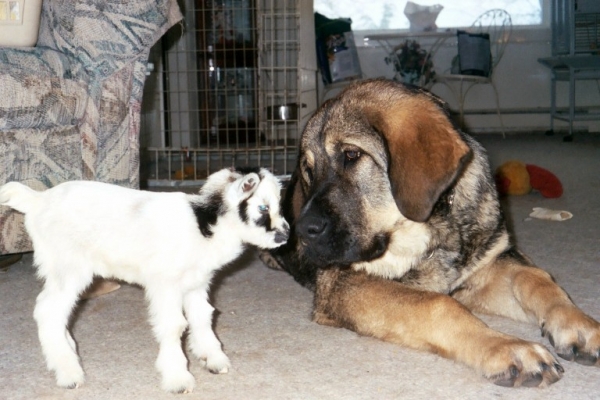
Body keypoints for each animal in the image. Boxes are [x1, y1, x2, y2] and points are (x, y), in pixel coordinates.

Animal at [264, 78, 600, 388]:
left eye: (351, 155)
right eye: (309, 171)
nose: (300, 231)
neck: (431, 227)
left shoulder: (485, 267)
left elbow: (535, 278)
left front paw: (580, 326)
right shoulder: (343, 283)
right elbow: (438, 305)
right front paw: (508, 348)